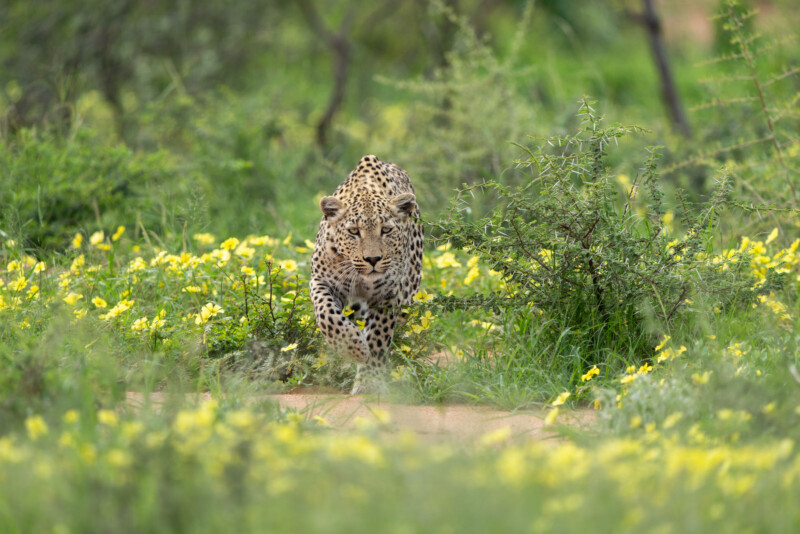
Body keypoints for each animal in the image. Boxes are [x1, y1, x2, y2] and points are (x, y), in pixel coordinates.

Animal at [310, 155, 424, 394]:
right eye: (354, 232)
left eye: (386, 230)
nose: (373, 259)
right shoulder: (321, 281)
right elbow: (328, 315)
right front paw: (353, 349)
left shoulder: (388, 295)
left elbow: (378, 338)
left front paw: (369, 380)